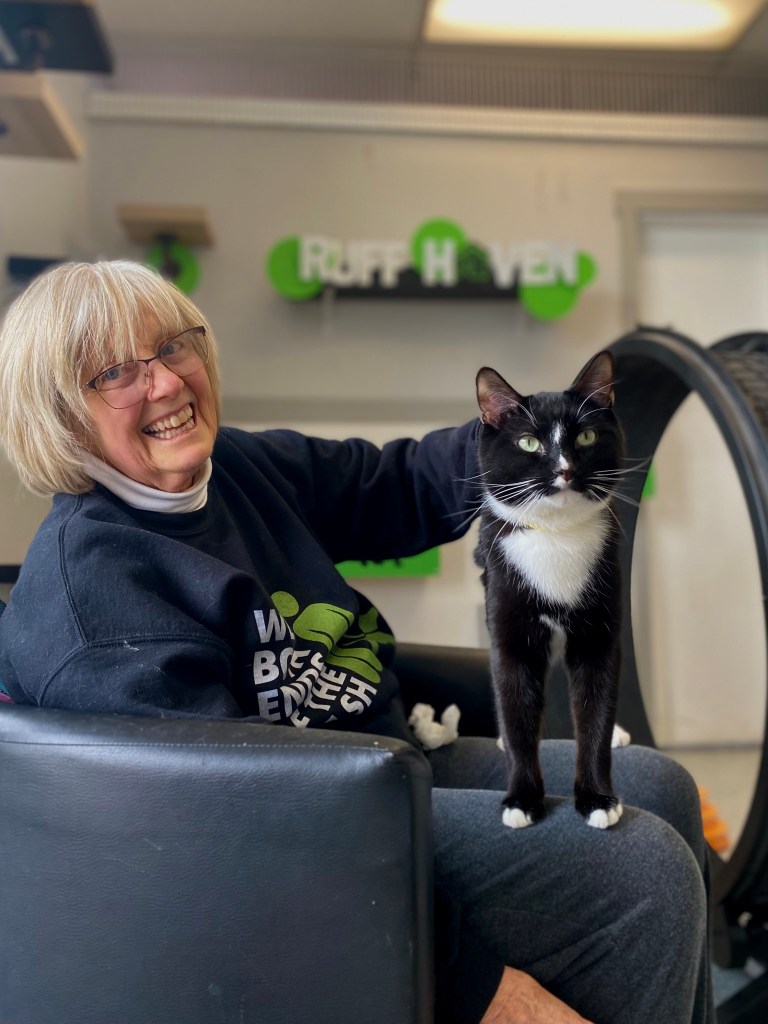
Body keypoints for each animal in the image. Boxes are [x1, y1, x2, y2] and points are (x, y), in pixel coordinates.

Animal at [479, 352, 626, 831]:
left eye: (586, 435)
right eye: (529, 443)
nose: (565, 469)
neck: (557, 537)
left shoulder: (600, 634)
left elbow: (595, 711)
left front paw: (597, 798)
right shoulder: (509, 629)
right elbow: (517, 712)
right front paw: (522, 800)